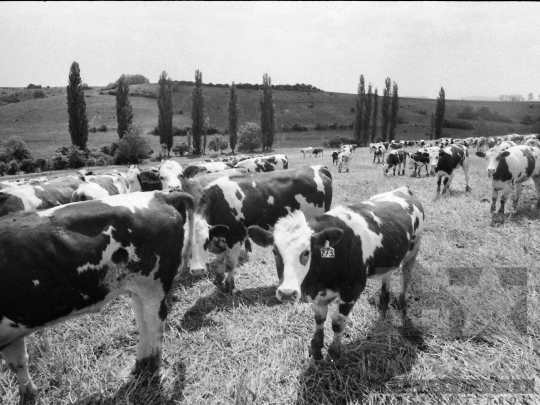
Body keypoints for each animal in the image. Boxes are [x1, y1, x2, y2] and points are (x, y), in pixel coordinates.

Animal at [0, 191, 195, 402]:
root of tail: (160, 195)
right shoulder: (11, 334)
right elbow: (18, 363)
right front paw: (28, 395)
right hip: (138, 289)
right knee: (143, 324)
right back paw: (140, 365)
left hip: (155, 288)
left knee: (155, 326)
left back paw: (153, 369)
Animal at [186, 166, 334, 292]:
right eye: (186, 245)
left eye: (206, 242)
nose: (197, 271)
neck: (219, 201)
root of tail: (319, 168)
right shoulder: (221, 237)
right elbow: (220, 259)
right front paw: (218, 279)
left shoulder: (236, 237)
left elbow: (230, 263)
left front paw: (229, 286)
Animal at [247, 185, 424, 360]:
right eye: (274, 251)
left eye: (306, 252)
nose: (286, 293)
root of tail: (402, 190)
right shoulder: (319, 294)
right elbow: (319, 319)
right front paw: (316, 347)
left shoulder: (352, 289)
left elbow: (338, 323)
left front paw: (334, 352)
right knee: (387, 277)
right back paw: (384, 304)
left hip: (413, 250)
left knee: (406, 276)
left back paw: (402, 303)